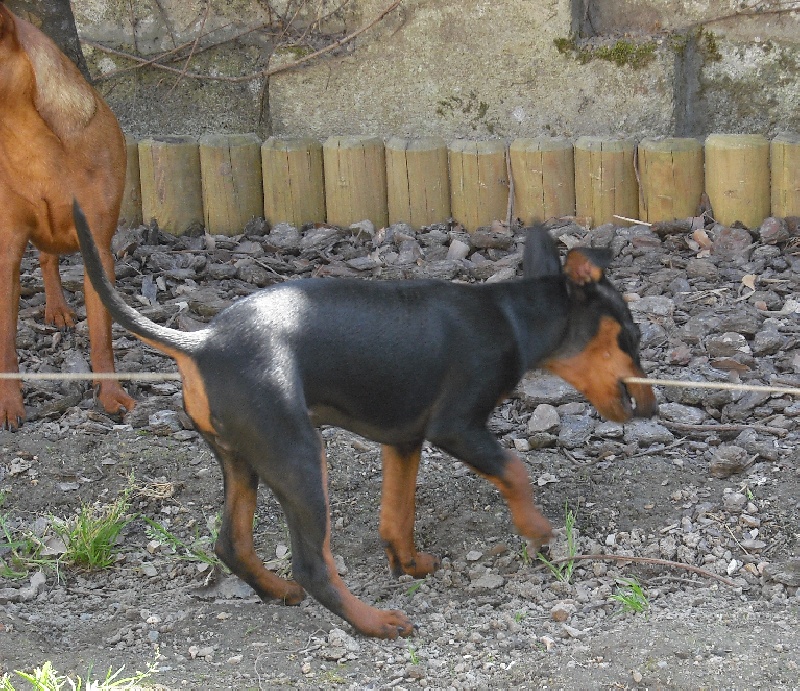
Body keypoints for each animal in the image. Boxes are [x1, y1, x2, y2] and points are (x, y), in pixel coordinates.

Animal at [0, 4, 133, 428]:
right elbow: (5, 342)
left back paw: (57, 308)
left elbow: (102, 336)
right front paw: (9, 404)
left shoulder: (98, 250)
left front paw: (110, 396)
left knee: (47, 259)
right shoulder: (6, 253)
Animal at [72, 203, 652, 640]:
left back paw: (279, 592)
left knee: (232, 544)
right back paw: (374, 622)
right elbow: (515, 470)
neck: (511, 317)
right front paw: (535, 529)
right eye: (630, 335)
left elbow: (398, 515)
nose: (651, 408)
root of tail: (202, 341)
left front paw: (410, 564)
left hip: (244, 460)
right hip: (300, 457)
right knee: (312, 564)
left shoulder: (404, 441)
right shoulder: (455, 427)